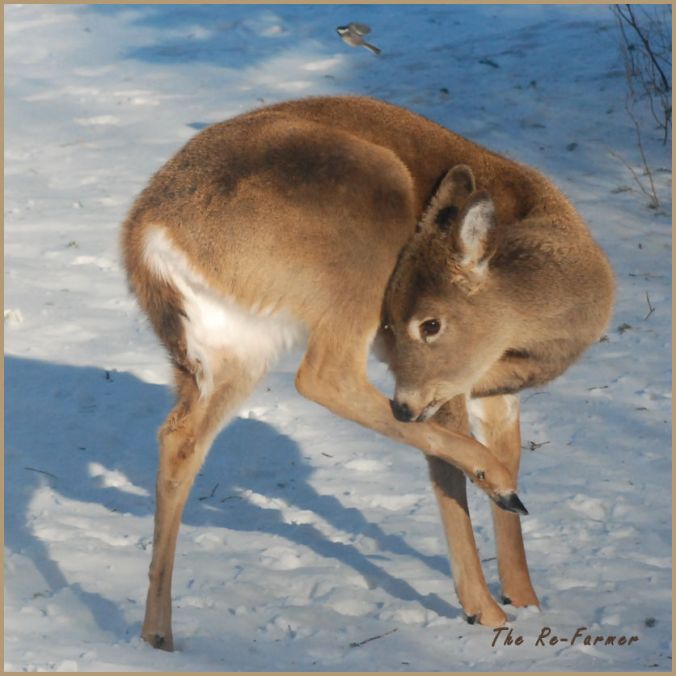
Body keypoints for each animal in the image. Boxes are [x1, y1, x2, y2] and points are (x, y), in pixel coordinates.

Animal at [121, 95, 614, 650]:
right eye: (407, 322)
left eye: (430, 323)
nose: (404, 402)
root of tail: (150, 235)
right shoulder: (445, 386)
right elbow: (449, 473)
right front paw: (486, 609)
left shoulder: (490, 391)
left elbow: (504, 457)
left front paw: (525, 597)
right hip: (363, 231)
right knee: (324, 375)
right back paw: (497, 492)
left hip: (229, 346)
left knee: (180, 438)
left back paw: (158, 632)